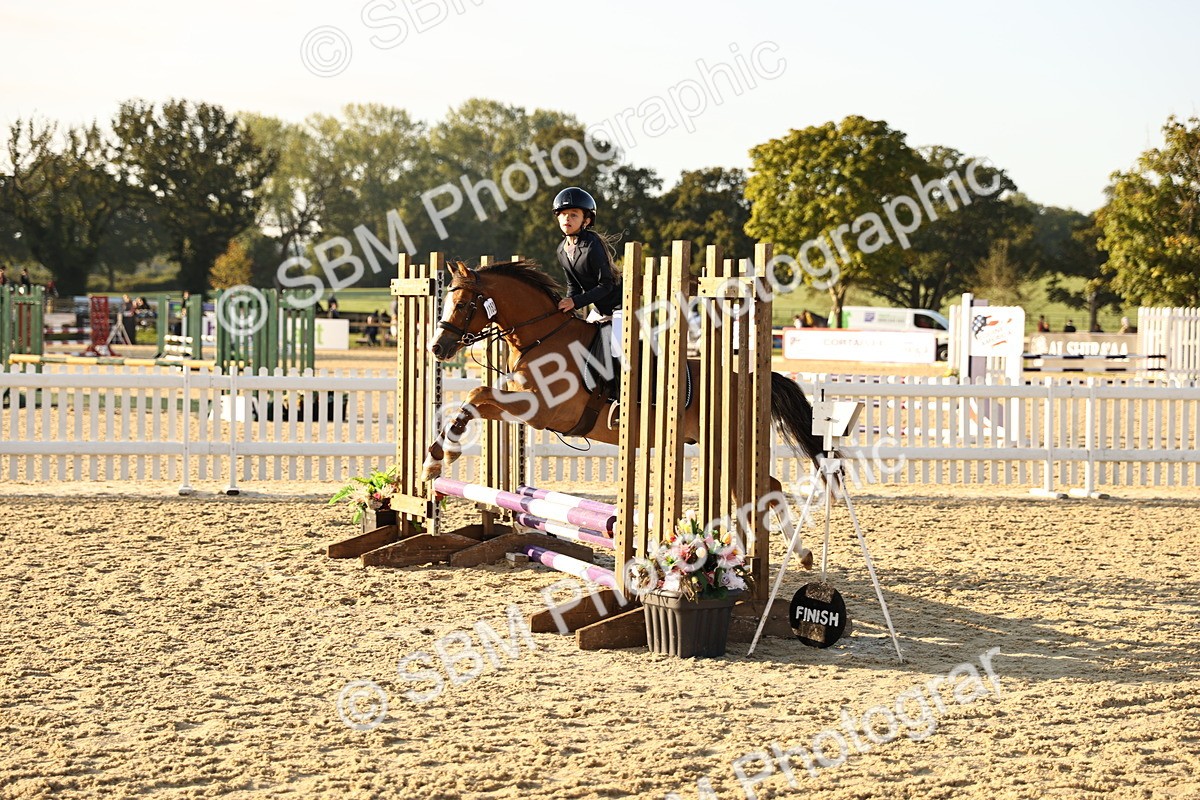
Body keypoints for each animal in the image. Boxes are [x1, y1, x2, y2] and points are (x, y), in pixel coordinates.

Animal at [422, 260, 828, 497]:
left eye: (462, 304)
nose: (437, 348)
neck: (543, 337)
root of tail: (747, 378)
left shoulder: (542, 410)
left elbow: (477, 393)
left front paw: (438, 457)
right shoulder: (520, 405)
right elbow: (476, 399)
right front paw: (438, 456)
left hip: (730, 448)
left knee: (768, 489)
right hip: (719, 455)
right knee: (760, 490)